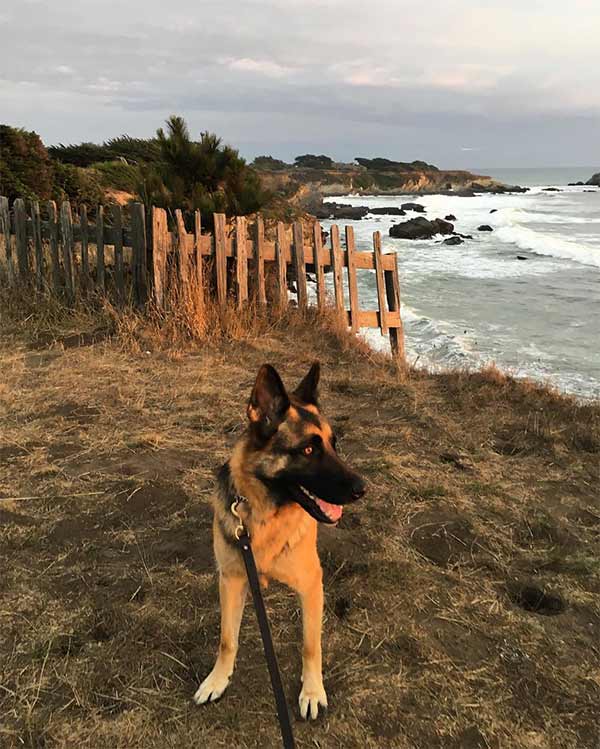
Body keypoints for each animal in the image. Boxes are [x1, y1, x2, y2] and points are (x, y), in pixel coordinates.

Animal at [195, 362, 366, 720]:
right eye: (308, 450)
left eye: (334, 444)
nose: (362, 488)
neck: (264, 516)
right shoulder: (231, 580)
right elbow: (227, 639)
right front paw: (218, 679)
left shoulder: (312, 586)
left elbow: (310, 645)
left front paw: (312, 691)